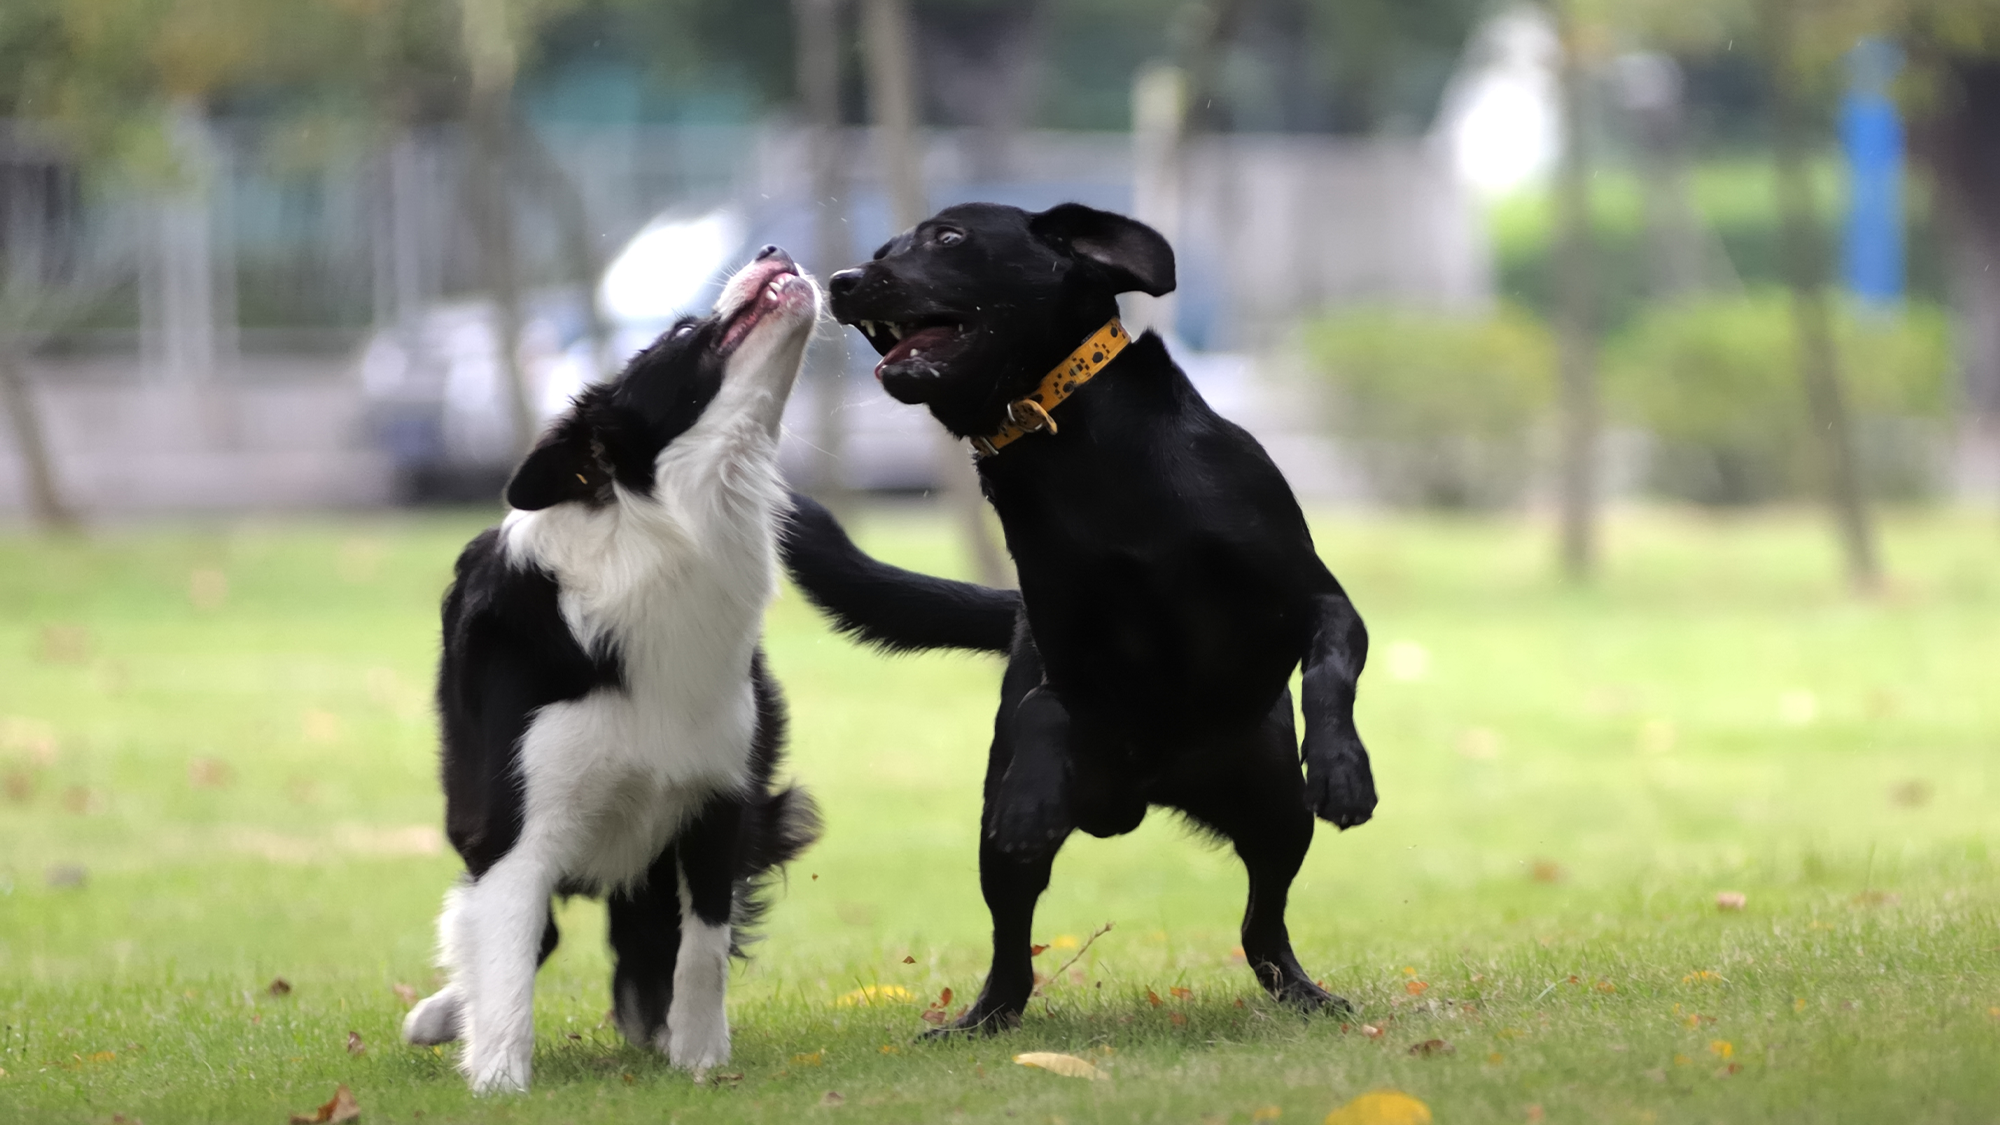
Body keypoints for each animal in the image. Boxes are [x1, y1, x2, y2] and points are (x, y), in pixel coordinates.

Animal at [404, 245, 820, 1088]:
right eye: (683, 330)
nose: (772, 251)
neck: (666, 537)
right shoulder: (515, 822)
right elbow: (507, 949)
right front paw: (498, 1078)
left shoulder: (718, 796)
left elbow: (703, 945)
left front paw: (699, 1056)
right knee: (519, 932)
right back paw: (444, 1013)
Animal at [780, 203, 1376, 1032]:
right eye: (880, 249)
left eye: (949, 238)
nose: (840, 280)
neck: (1085, 456)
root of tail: (1145, 792)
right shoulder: (1062, 644)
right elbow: (1045, 705)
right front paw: (1031, 797)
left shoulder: (1318, 598)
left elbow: (1329, 667)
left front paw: (1344, 767)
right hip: (999, 853)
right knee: (1012, 946)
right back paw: (979, 1018)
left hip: (1278, 809)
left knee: (1264, 922)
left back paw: (1306, 993)